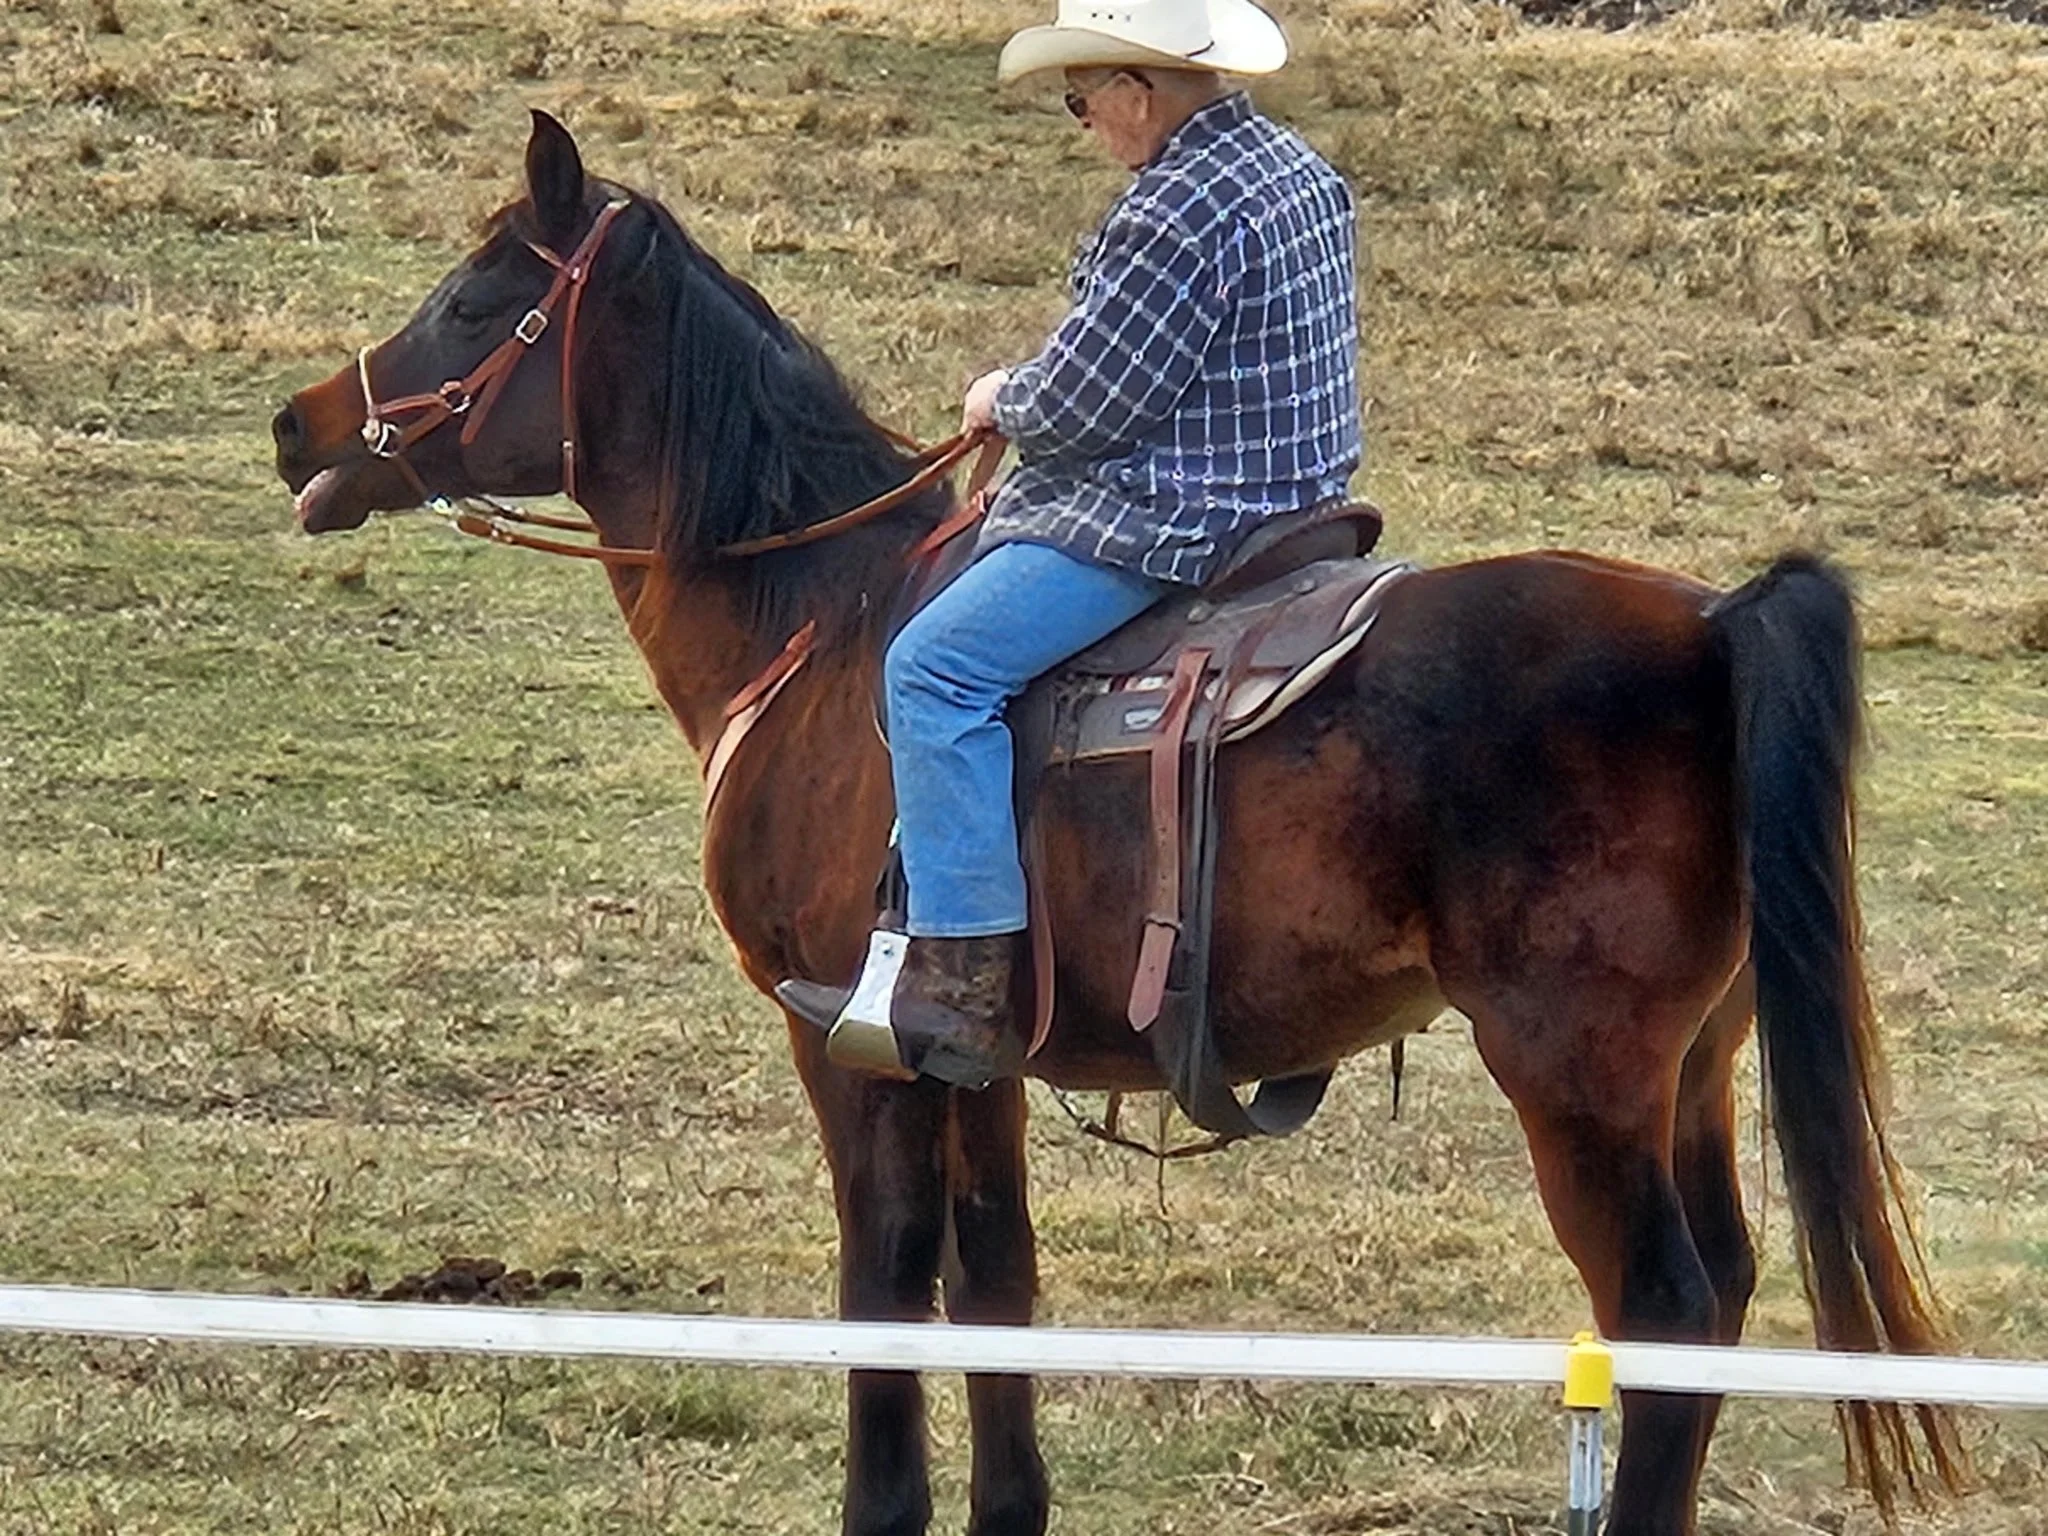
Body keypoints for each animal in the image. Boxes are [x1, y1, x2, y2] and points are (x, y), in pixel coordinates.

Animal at [271, 111, 1960, 1536]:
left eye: (476, 300)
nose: (300, 426)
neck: (816, 615)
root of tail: (1710, 620)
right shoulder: (971, 1056)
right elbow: (994, 1284)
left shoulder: (842, 1040)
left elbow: (883, 1278)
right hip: (1694, 1063)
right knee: (1725, 1287)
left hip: (1578, 1071)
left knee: (1663, 1310)